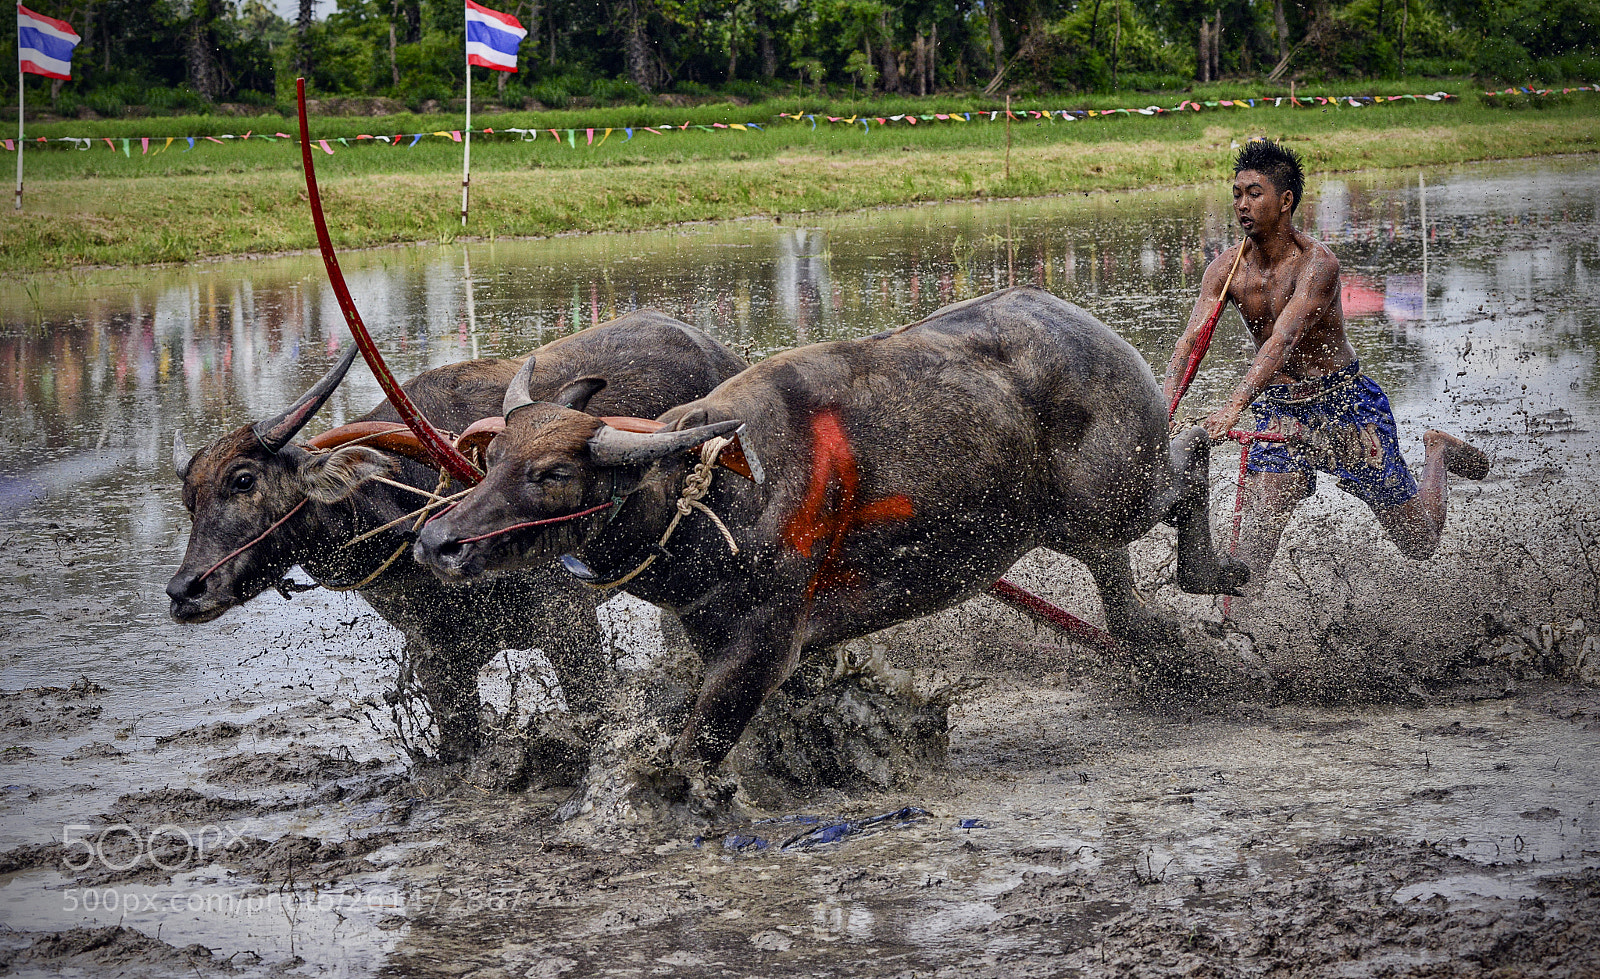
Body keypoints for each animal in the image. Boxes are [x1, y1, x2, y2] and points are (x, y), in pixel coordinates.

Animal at [414, 287, 1248, 769]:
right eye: (492, 457)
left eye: (553, 474)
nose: (435, 541)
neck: (719, 495)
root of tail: (1085, 326)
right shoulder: (724, 640)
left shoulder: (762, 647)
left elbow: (692, 755)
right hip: (1060, 519)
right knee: (1113, 563)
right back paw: (1149, 631)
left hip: (1118, 489)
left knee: (1194, 454)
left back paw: (1221, 572)